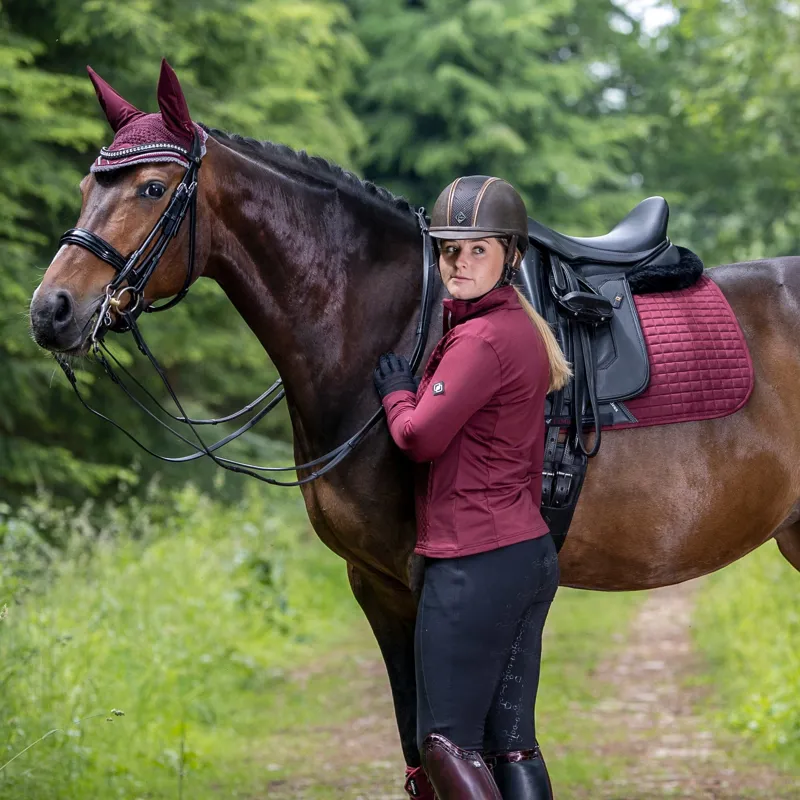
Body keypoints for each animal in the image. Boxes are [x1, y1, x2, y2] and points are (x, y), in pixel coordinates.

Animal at [28, 62, 796, 776]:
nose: (51, 310)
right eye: (87, 189)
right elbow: (418, 754)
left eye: (152, 189)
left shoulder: (432, 583)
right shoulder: (375, 583)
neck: (396, 322)